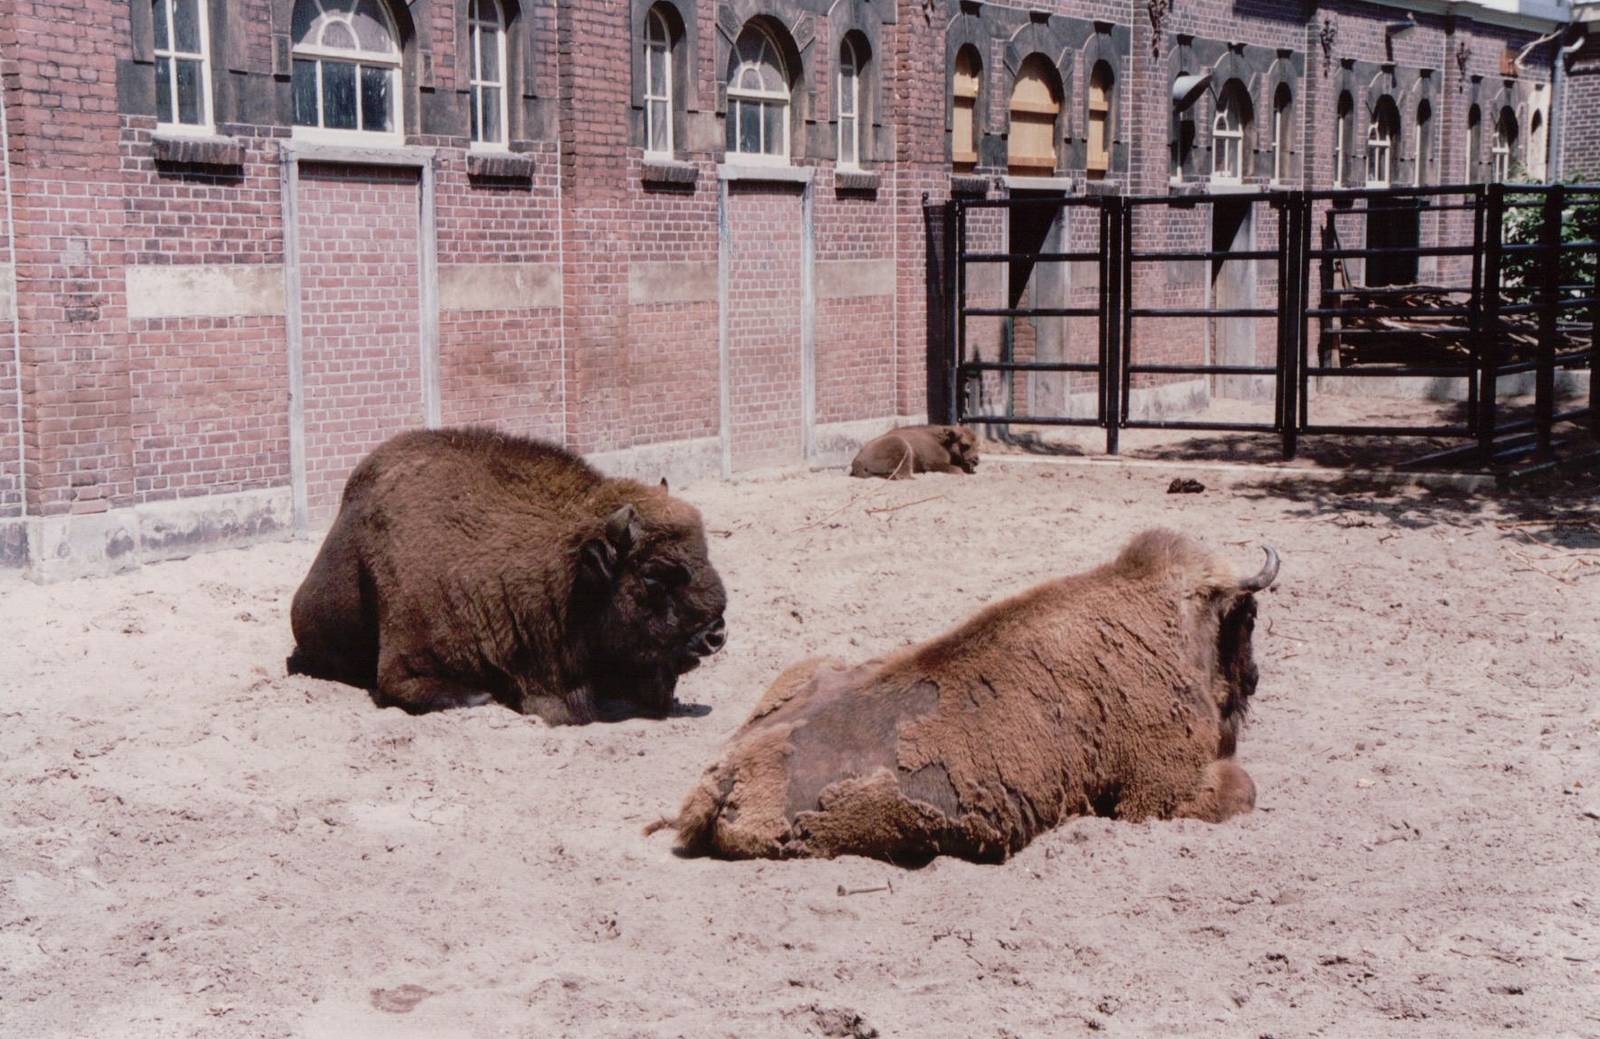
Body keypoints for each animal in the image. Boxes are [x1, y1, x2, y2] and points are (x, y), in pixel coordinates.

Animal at [654, 529, 1277, 863]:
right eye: (1248, 616)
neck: (1171, 622)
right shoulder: (1155, 795)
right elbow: (1243, 788)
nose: (1254, 679)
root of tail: (721, 777)